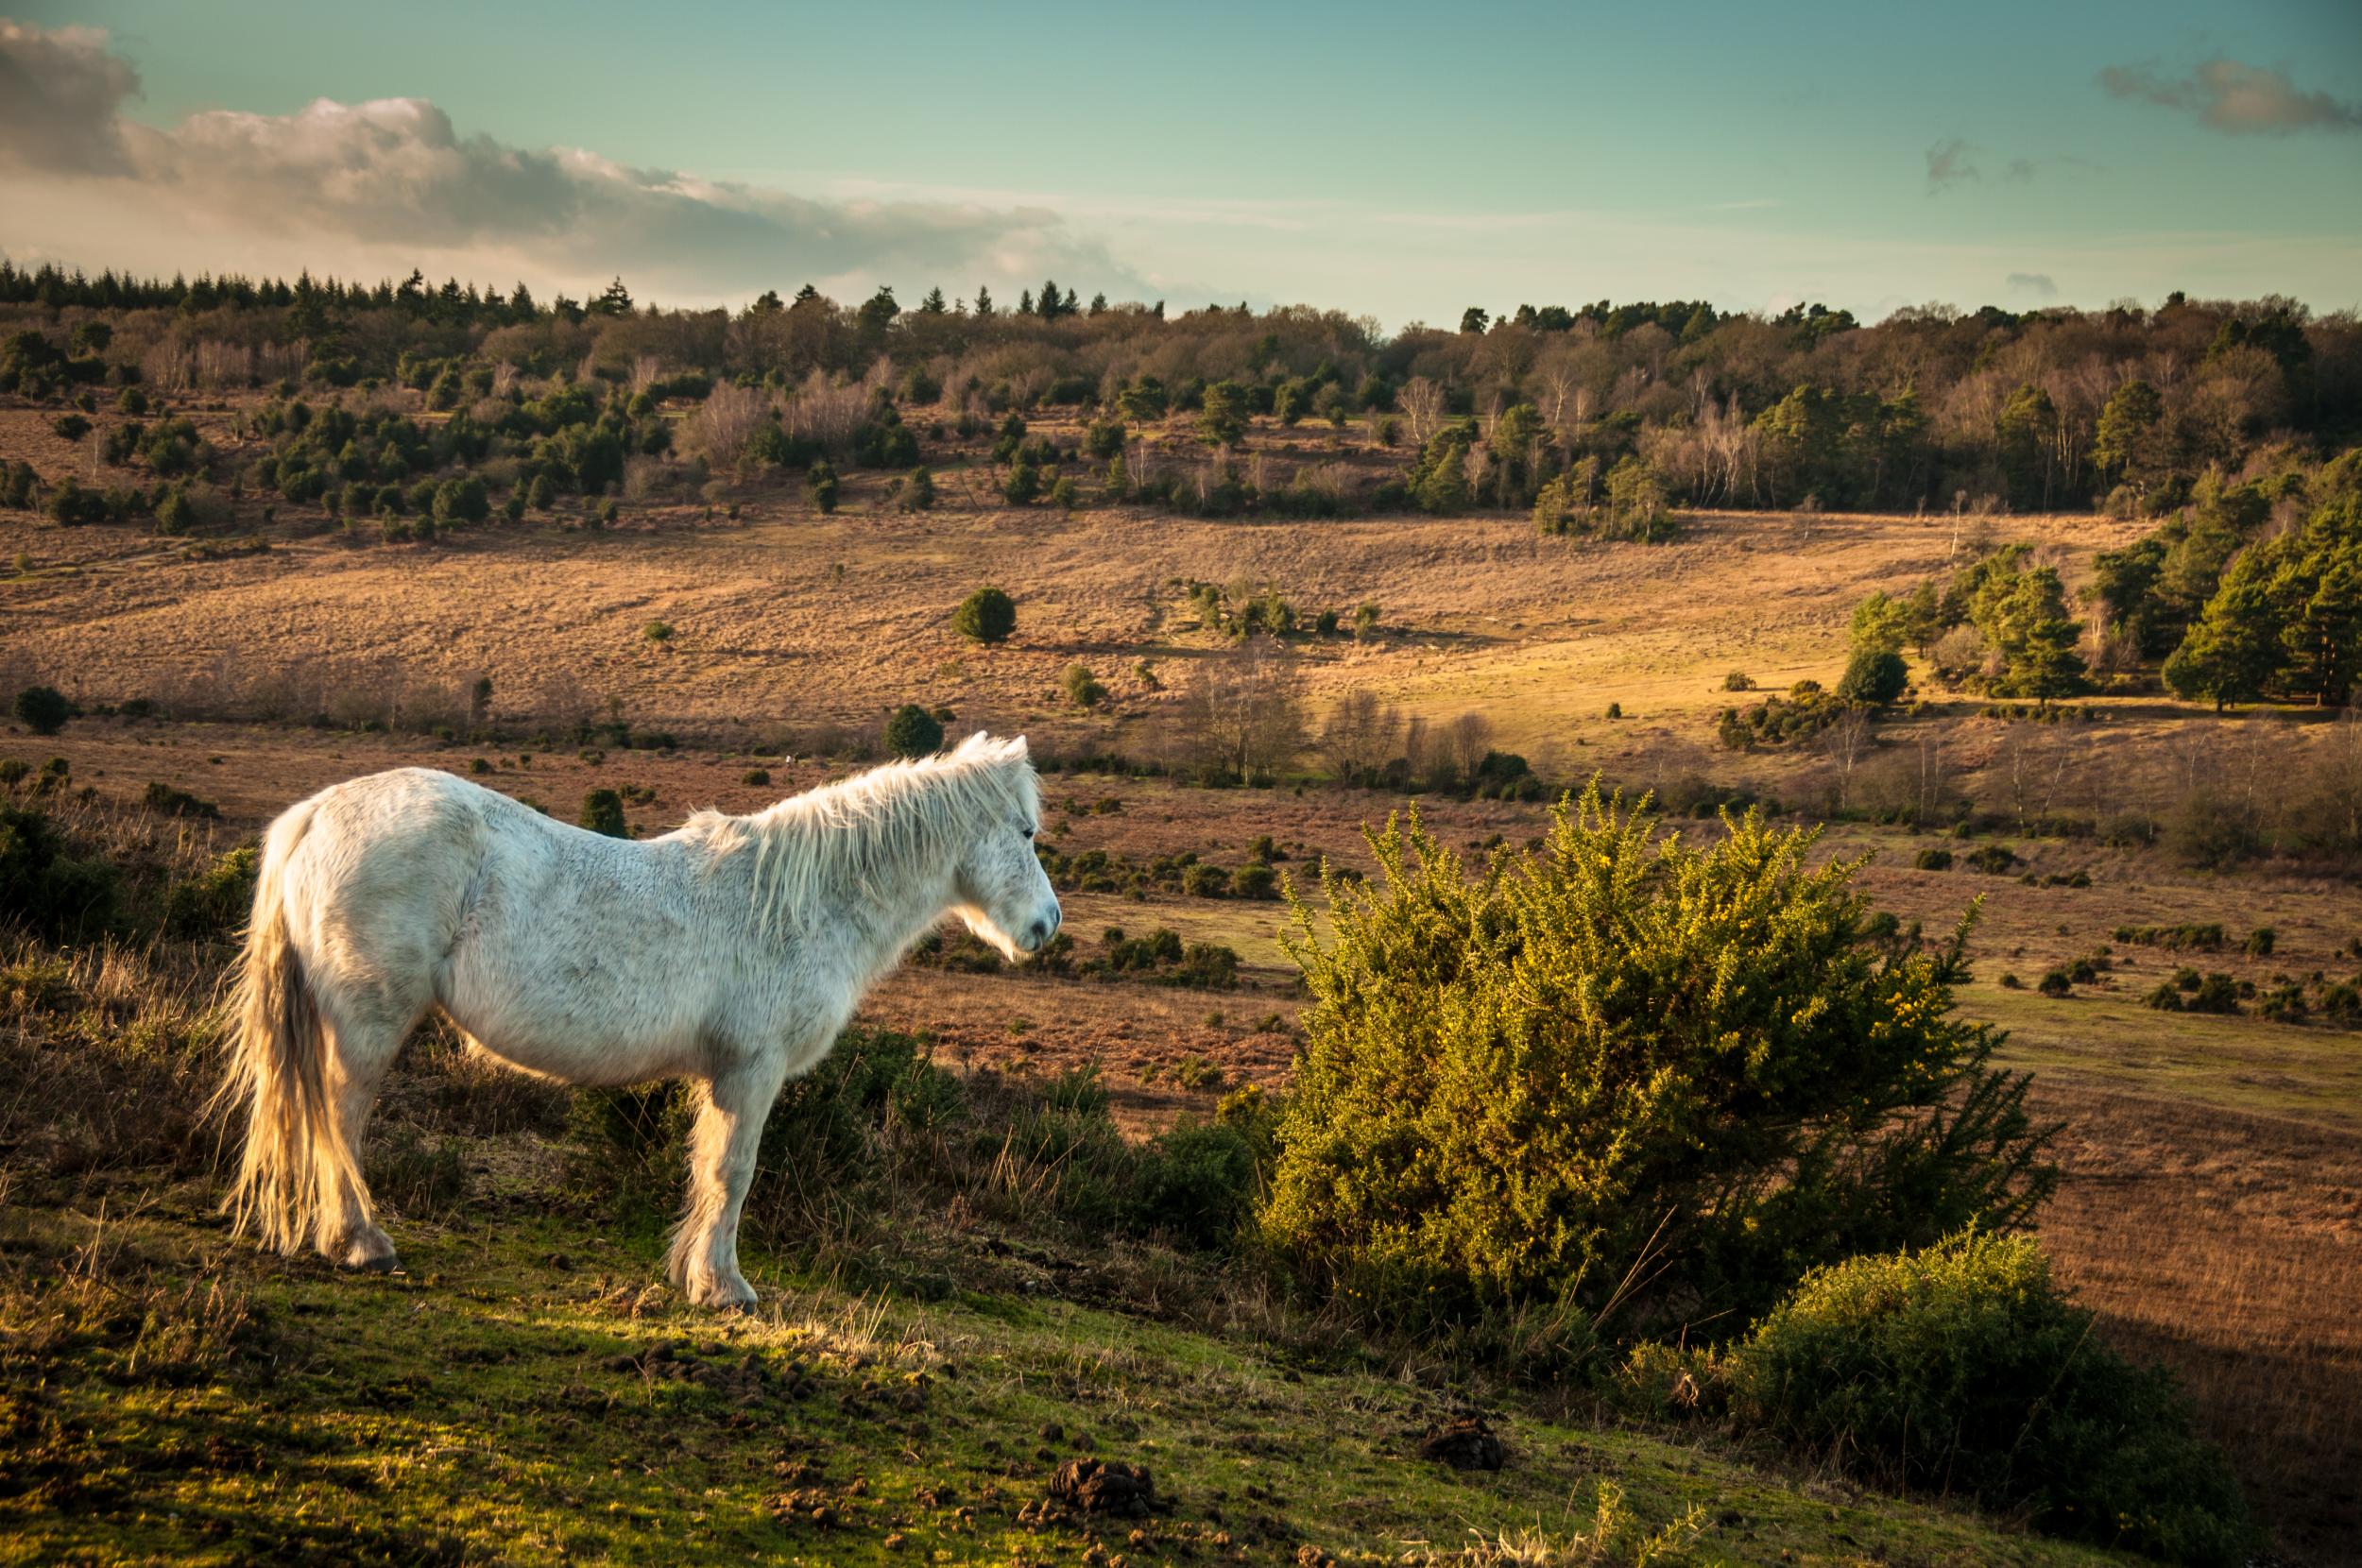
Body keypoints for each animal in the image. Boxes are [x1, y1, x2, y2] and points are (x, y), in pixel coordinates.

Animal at [217, 737, 1058, 1313]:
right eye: (1025, 832)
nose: (1047, 926)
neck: (798, 903)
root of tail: (317, 812)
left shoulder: (723, 1075)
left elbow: (706, 1167)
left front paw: (697, 1276)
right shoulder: (751, 1070)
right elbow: (734, 1173)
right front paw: (725, 1290)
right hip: (367, 1020)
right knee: (339, 1121)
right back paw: (362, 1243)